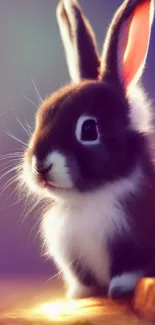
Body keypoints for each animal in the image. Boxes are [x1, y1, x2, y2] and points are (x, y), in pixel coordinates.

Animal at [22, 0, 155, 298]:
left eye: (88, 130)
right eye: (41, 117)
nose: (41, 166)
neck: (90, 199)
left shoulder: (132, 248)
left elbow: (128, 271)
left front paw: (119, 290)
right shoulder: (73, 256)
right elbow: (84, 282)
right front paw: (79, 294)